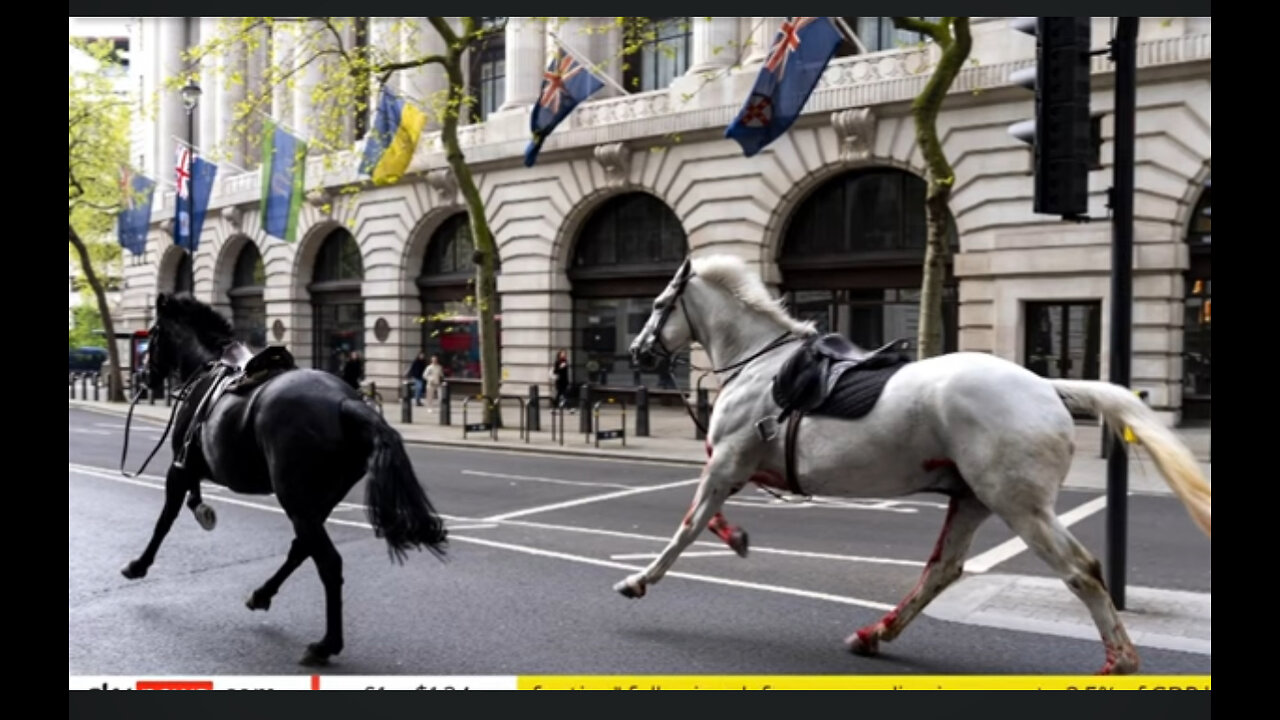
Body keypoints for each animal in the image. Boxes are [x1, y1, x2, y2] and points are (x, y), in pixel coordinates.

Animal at [120, 292, 450, 661]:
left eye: (153, 334)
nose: (143, 377)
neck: (208, 366)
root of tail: (346, 403)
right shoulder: (192, 467)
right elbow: (190, 500)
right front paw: (203, 511)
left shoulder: (180, 467)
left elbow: (164, 520)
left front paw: (139, 564)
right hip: (316, 502)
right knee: (301, 549)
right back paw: (262, 595)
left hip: (296, 500)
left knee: (328, 563)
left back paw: (326, 644)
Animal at [616, 252, 1208, 671]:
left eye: (657, 304)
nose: (637, 352)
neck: (760, 364)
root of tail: (1048, 387)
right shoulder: (736, 468)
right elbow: (707, 518)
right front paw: (736, 537)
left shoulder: (726, 464)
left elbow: (688, 526)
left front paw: (639, 580)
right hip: (972, 499)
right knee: (942, 570)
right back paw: (874, 634)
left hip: (1019, 505)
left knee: (1081, 570)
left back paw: (1119, 661)